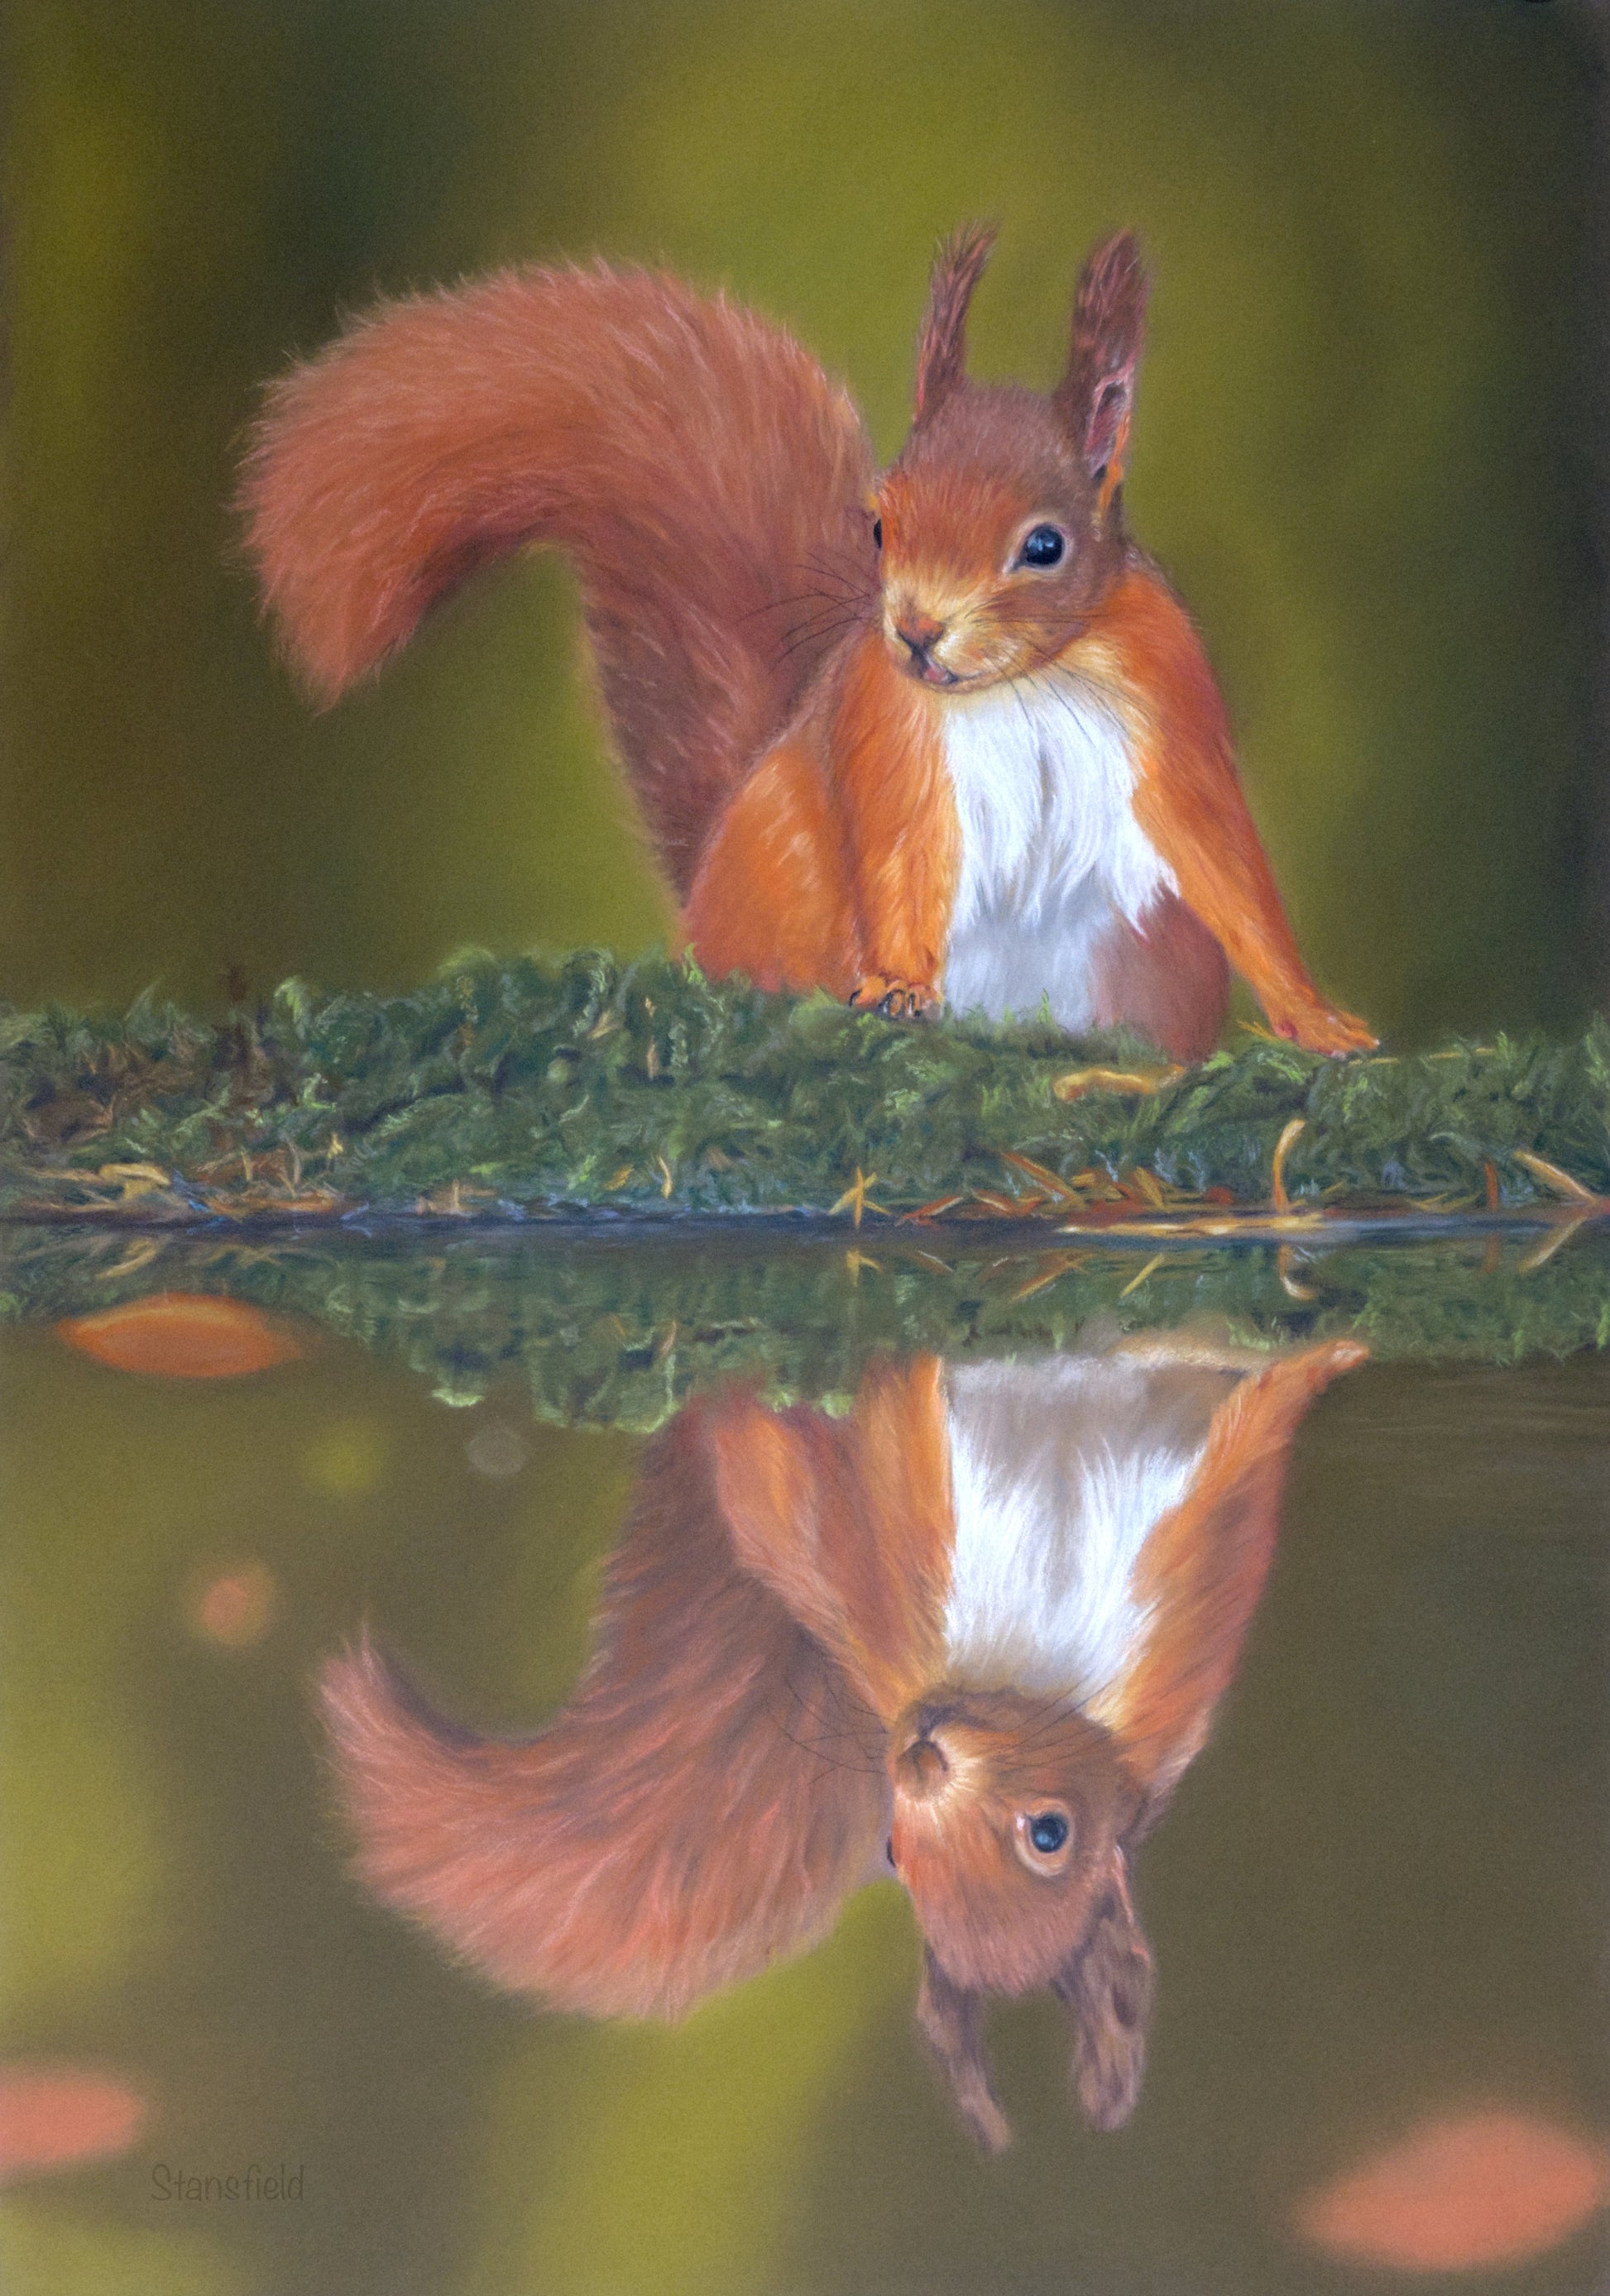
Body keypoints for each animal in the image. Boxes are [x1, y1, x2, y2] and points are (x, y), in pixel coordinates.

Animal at [242, 227, 1375, 1062]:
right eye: (878, 524)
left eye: (1044, 547)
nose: (914, 630)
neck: (1022, 680)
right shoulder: (887, 728)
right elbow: (900, 848)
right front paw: (902, 985)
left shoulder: (1165, 696)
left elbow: (1221, 858)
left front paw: (1318, 1020)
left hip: (1144, 952)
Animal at [320, 1330, 1366, 2150]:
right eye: (895, 1853)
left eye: (1049, 1834)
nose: (917, 1751)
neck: (1021, 1667)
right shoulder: (883, 1579)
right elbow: (882, 1464)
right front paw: (901, 1379)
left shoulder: (1182, 1613)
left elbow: (1254, 1432)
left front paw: (1325, 1356)